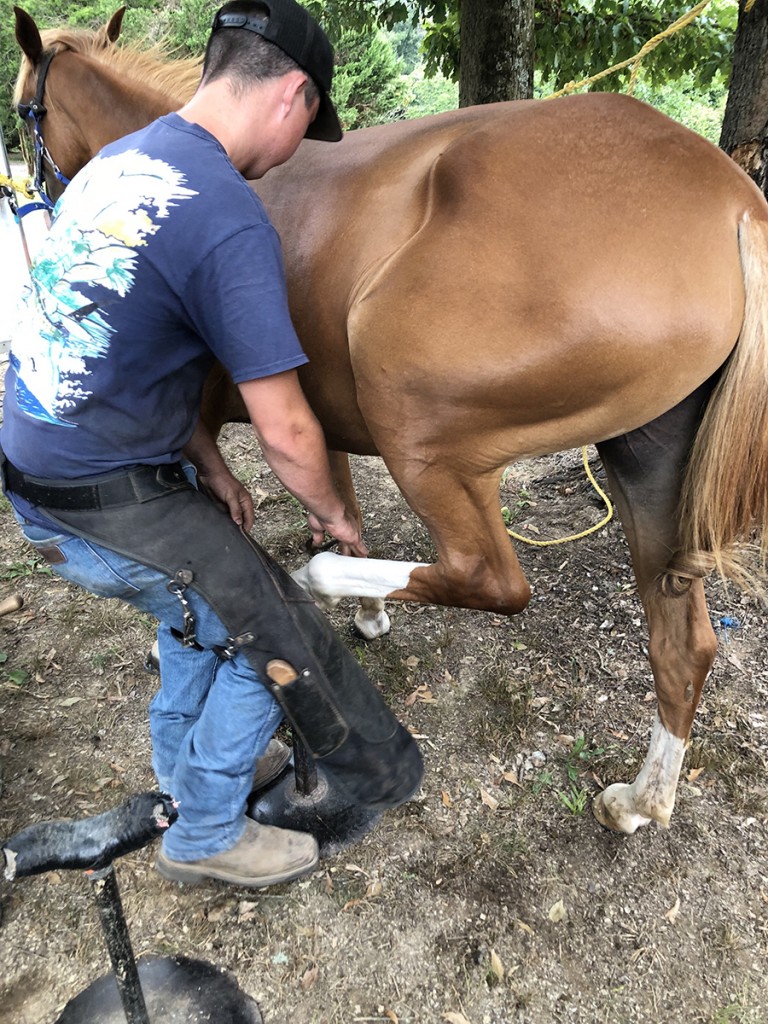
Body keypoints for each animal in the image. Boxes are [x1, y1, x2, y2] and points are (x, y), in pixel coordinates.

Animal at [13, 8, 768, 835]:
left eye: (23, 113)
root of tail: (735, 203)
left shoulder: (203, 431)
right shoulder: (313, 419)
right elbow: (339, 506)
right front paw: (370, 608)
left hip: (418, 427)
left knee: (490, 581)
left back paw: (317, 587)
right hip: (649, 455)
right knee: (683, 643)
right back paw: (641, 799)